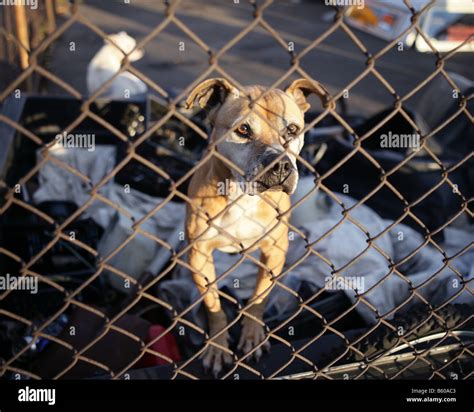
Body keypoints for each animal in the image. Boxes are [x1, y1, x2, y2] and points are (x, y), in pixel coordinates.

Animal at [185, 77, 334, 376]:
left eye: (292, 129)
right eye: (243, 129)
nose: (280, 166)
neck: (243, 196)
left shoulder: (274, 251)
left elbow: (259, 298)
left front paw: (252, 336)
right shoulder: (199, 255)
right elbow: (214, 305)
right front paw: (217, 348)